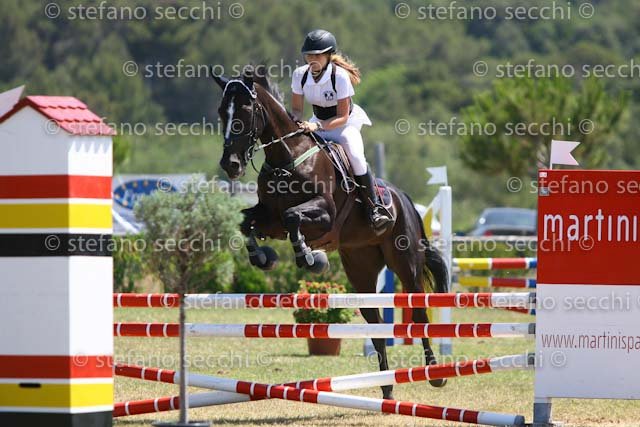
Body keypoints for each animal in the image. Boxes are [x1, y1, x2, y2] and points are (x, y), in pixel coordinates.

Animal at [211, 65, 449, 399]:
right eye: (222, 111)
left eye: (245, 110)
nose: (230, 165)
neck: (288, 158)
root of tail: (403, 197)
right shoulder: (269, 219)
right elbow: (246, 222)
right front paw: (264, 257)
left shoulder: (323, 214)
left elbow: (293, 217)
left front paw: (311, 259)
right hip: (361, 269)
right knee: (375, 324)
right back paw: (387, 388)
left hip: (406, 262)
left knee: (418, 312)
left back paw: (434, 373)